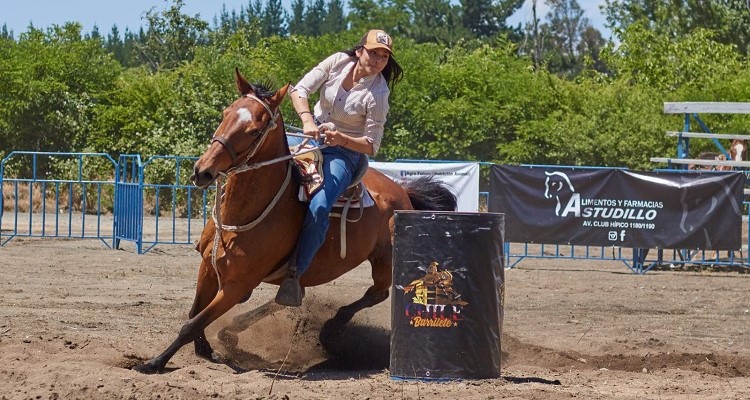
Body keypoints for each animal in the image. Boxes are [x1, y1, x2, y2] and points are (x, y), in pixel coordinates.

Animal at [137, 70, 458, 374]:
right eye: (225, 114)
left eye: (254, 131)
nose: (202, 171)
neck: (245, 212)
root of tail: (403, 191)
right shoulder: (207, 267)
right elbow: (195, 314)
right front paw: (205, 350)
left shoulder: (237, 285)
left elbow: (191, 324)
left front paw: (154, 363)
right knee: (293, 295)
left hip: (384, 260)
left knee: (377, 292)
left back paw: (331, 328)